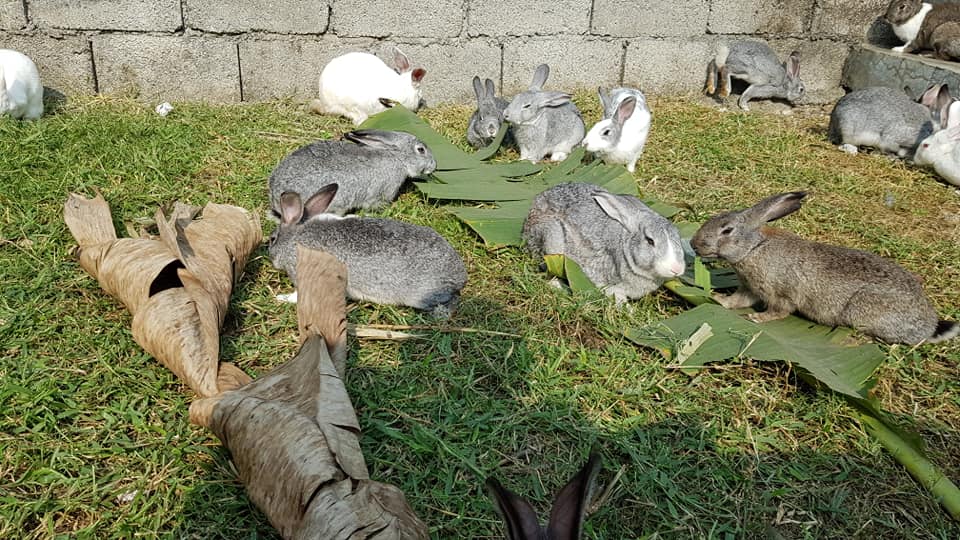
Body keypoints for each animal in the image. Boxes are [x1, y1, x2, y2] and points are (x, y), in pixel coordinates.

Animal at [268, 184, 467, 318]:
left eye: (272, 239)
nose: (270, 257)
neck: (294, 238)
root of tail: (460, 276)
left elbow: (298, 295)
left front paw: (281, 298)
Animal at [522, 182, 686, 304]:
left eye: (678, 237)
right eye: (650, 240)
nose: (676, 269)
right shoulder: (607, 282)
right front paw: (627, 309)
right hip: (551, 237)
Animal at [690, 192, 959, 345]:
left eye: (727, 230)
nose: (694, 244)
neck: (754, 247)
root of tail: (928, 326)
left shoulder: (780, 293)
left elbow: (780, 310)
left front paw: (758, 318)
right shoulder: (750, 288)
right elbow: (737, 301)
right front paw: (718, 299)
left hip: (864, 309)